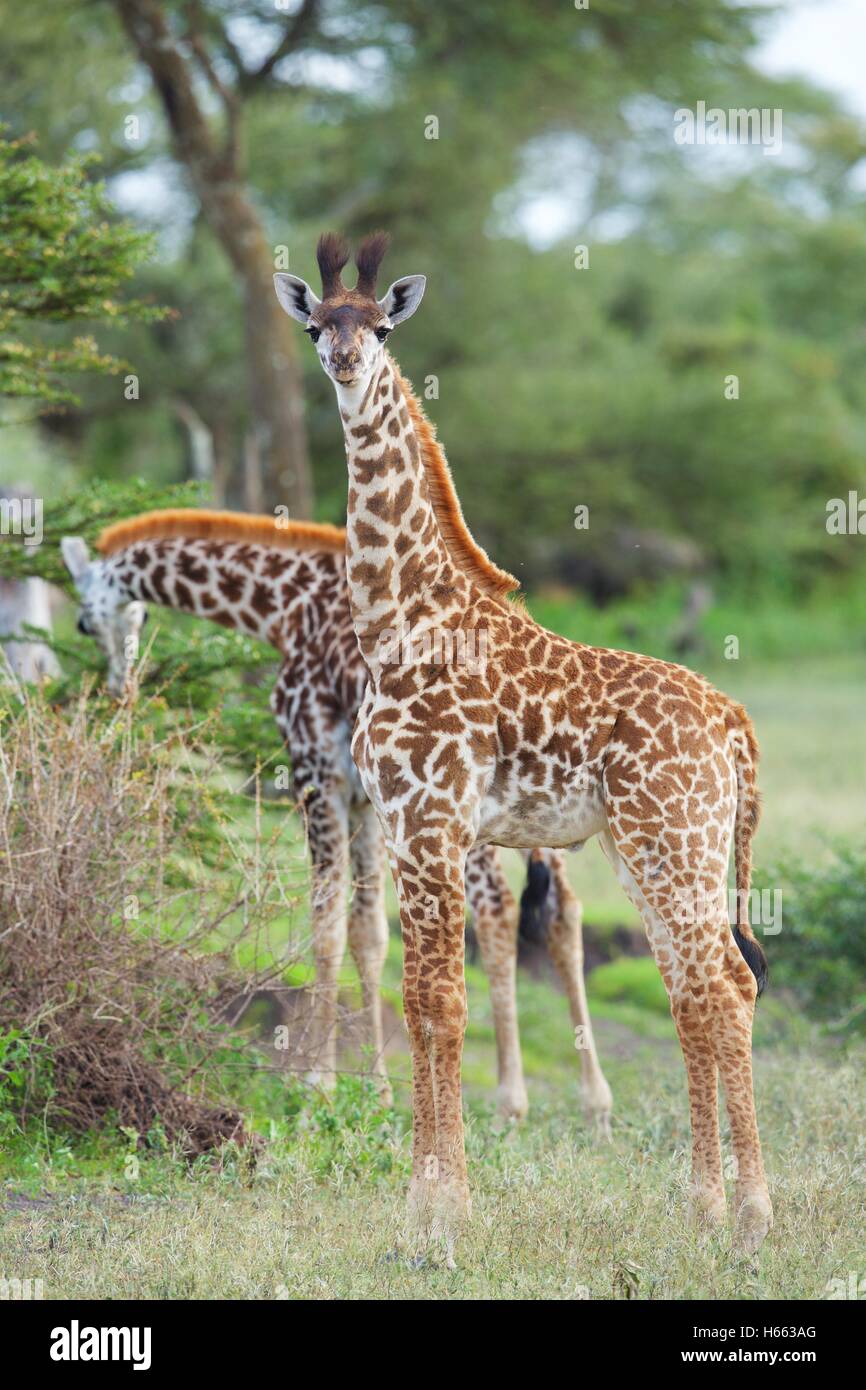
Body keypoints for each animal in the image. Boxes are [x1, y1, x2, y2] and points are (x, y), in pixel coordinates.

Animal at [60, 512, 612, 1126]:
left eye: (84, 621)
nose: (120, 689)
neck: (286, 607)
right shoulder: (366, 799)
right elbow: (369, 933)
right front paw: (379, 1090)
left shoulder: (317, 771)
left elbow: (325, 924)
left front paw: (317, 1084)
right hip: (540, 801)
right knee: (563, 907)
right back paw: (594, 1102)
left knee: (496, 905)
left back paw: (510, 1099)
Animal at [274, 232, 773, 1263]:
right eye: (316, 323)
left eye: (380, 326)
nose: (344, 360)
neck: (401, 620)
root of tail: (734, 723)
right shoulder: (405, 820)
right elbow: (419, 999)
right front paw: (422, 1208)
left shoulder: (434, 819)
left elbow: (443, 1002)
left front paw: (442, 1217)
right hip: (650, 849)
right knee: (694, 992)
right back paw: (703, 1210)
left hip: (676, 842)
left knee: (726, 986)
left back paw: (750, 1219)